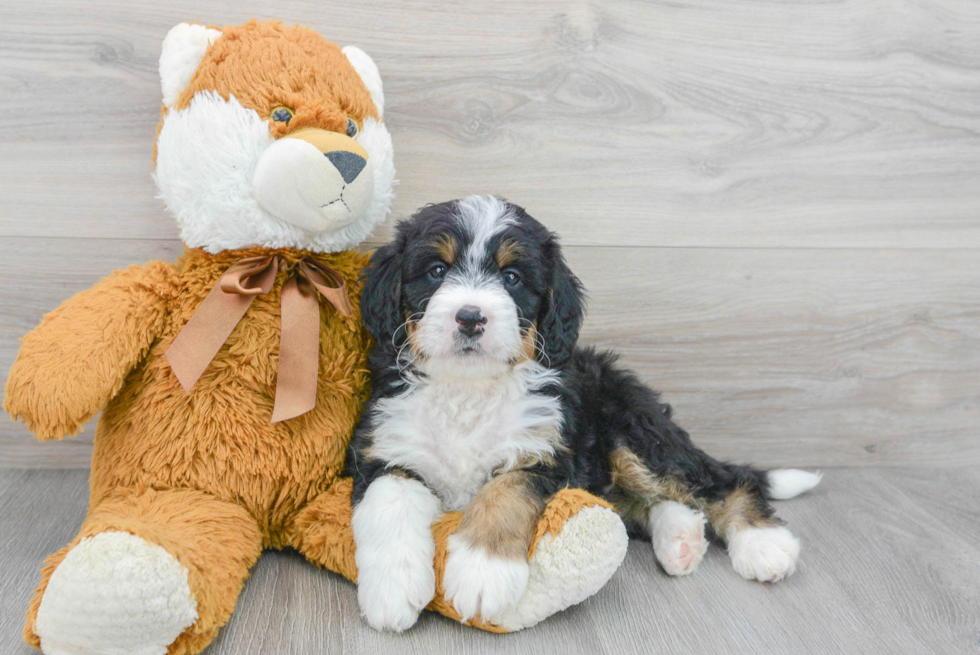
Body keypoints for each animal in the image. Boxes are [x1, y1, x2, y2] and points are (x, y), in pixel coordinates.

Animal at [344, 195, 820, 632]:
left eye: (512, 277)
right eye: (437, 271)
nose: (471, 318)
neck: (468, 388)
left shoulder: (549, 452)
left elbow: (504, 491)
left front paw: (482, 572)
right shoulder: (384, 446)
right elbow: (389, 498)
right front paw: (392, 591)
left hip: (635, 433)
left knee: (716, 483)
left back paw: (763, 543)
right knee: (644, 503)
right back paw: (681, 538)